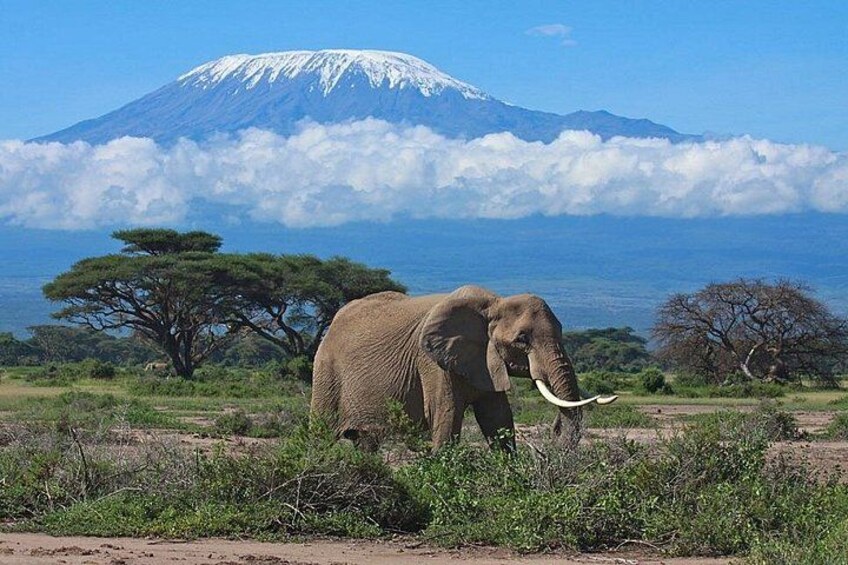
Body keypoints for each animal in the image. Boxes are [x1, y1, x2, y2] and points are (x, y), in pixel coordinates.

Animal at [310, 285, 617, 450]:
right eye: (522, 339)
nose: (554, 429)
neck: (493, 304)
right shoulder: (431, 363)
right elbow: (446, 417)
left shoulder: (485, 360)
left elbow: (498, 419)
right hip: (325, 370)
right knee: (321, 434)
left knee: (366, 443)